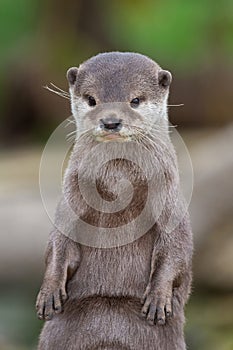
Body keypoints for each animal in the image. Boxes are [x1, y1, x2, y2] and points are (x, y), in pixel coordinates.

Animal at [36, 52, 193, 350]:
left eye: (135, 100)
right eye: (91, 99)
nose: (111, 122)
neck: (116, 189)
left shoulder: (170, 199)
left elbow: (175, 247)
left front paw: (158, 298)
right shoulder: (69, 199)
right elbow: (58, 243)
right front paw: (49, 290)